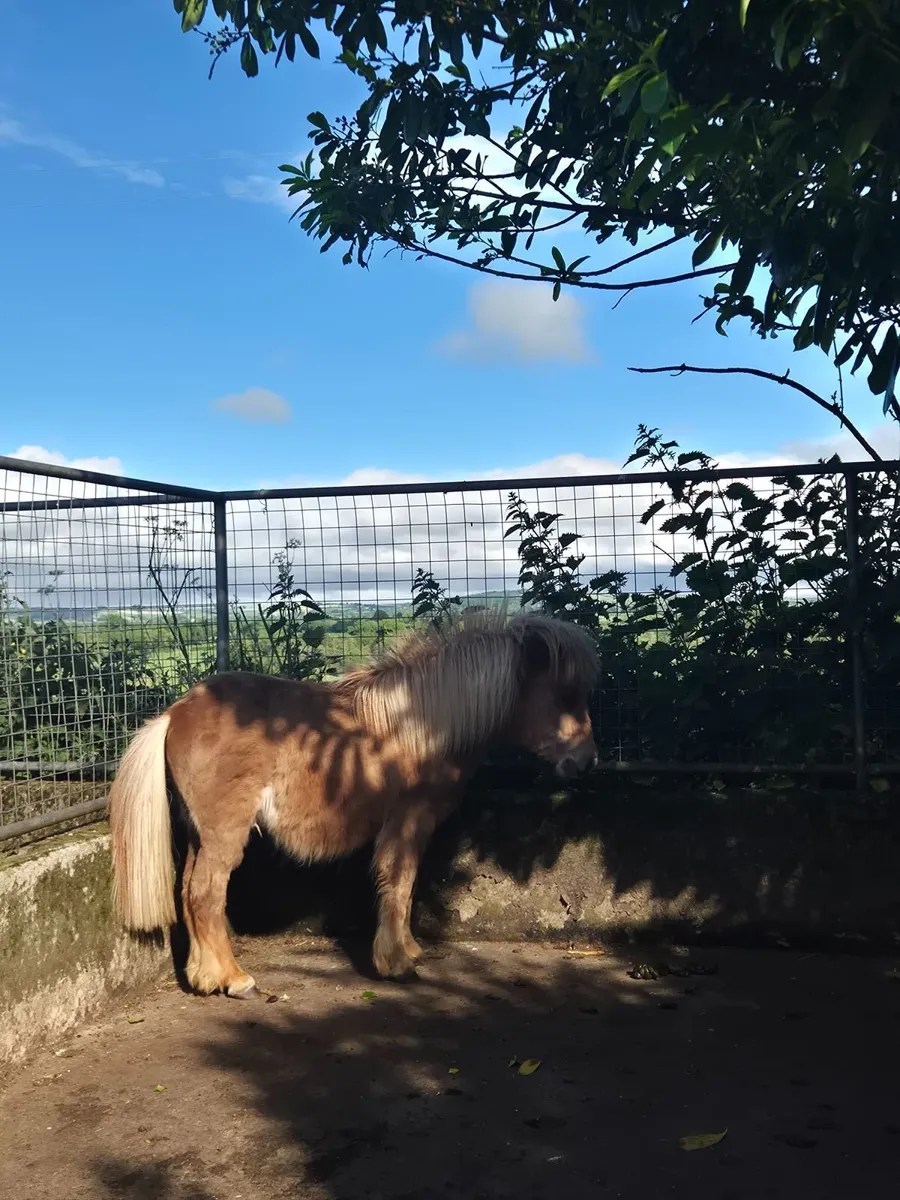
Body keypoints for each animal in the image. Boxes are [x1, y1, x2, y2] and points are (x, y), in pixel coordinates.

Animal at [108, 610, 599, 999]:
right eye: (565, 695)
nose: (587, 760)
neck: (419, 726)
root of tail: (175, 713)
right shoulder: (408, 819)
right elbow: (398, 882)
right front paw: (396, 962)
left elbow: (403, 885)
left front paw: (408, 949)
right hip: (224, 833)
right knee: (205, 893)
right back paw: (235, 979)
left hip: (199, 833)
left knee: (188, 893)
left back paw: (204, 976)